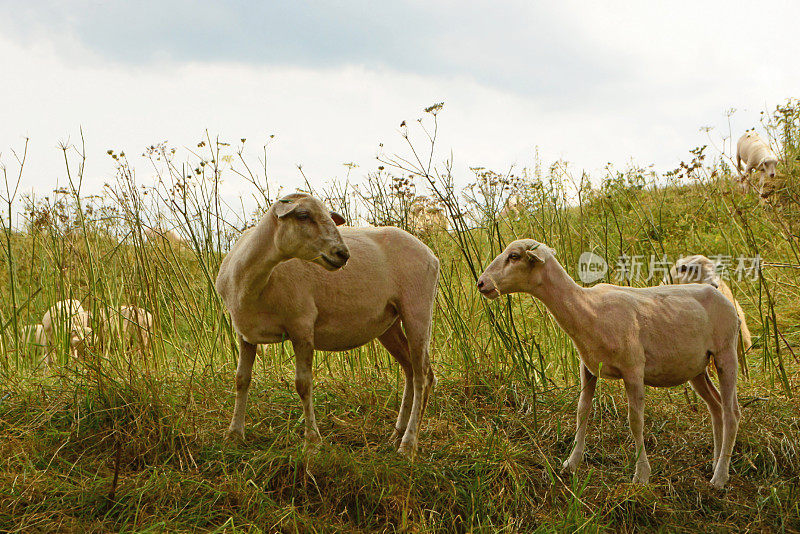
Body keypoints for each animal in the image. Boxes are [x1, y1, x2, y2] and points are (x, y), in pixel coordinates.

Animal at [214, 193, 438, 456]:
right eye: (303, 215)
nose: (343, 254)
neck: (251, 282)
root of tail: (430, 253)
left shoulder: (301, 324)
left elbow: (303, 385)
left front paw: (312, 442)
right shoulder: (244, 332)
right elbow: (241, 380)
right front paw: (234, 435)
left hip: (417, 307)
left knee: (423, 376)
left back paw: (408, 445)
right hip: (389, 322)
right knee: (410, 370)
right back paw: (396, 436)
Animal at [476, 241, 744, 492]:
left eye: (514, 256)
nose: (481, 283)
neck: (586, 308)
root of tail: (720, 294)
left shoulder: (633, 368)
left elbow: (635, 421)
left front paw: (641, 475)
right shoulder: (588, 368)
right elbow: (582, 411)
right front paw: (572, 463)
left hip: (726, 352)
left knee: (732, 413)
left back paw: (720, 478)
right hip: (696, 367)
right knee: (716, 408)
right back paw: (717, 463)